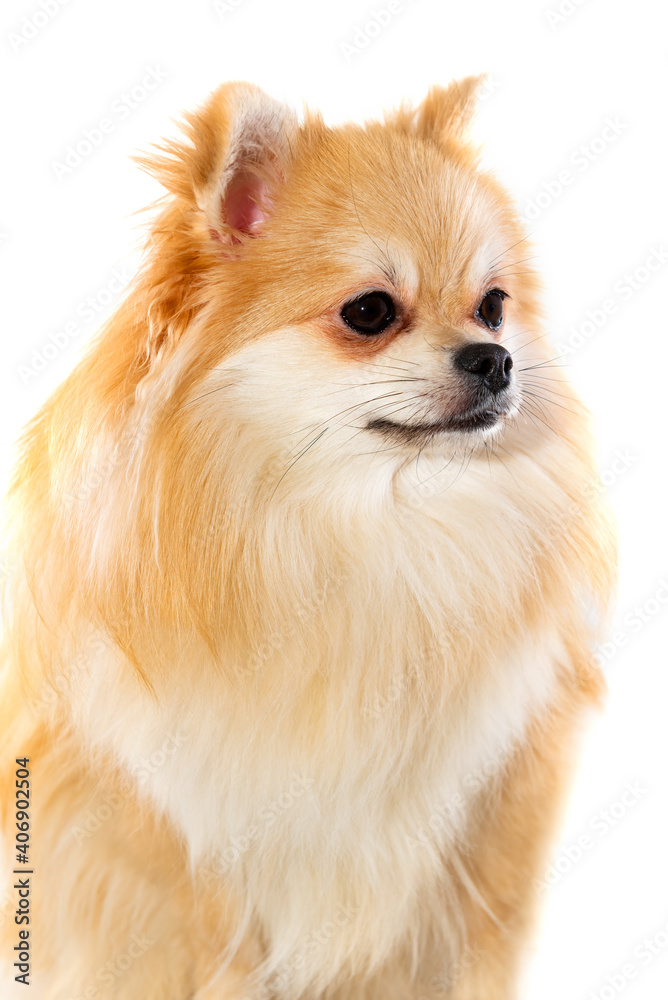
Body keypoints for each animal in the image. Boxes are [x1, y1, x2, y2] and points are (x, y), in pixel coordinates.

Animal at [0, 74, 616, 996]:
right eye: (370, 312)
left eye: (493, 307)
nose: (495, 358)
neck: (367, 529)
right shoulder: (181, 845)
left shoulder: (481, 826)